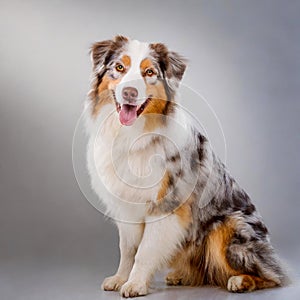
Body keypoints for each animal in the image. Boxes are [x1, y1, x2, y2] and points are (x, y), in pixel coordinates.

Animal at [85, 35, 288, 298]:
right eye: (119, 67)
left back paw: (241, 281)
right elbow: (128, 249)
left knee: (273, 276)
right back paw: (181, 275)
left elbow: (145, 250)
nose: (129, 92)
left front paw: (136, 283)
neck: (133, 135)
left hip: (227, 228)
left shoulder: (165, 205)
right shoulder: (126, 208)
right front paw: (120, 278)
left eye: (149, 72)